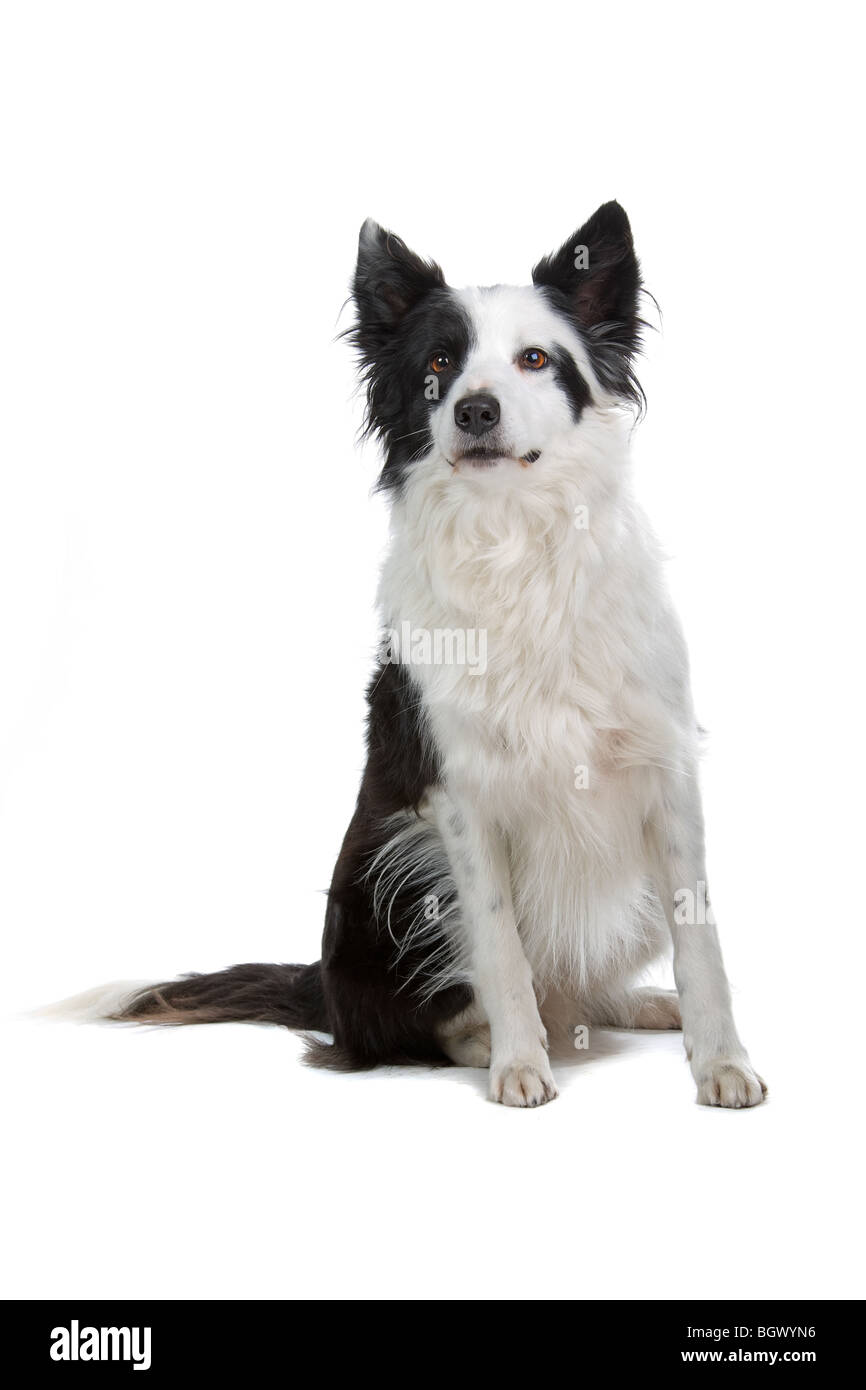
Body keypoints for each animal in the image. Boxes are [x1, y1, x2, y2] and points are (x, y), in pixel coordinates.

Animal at [57, 202, 767, 1106]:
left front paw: (723, 1062)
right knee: (398, 1027)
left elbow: (700, 937)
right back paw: (492, 1041)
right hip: (395, 869)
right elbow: (499, 949)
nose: (475, 410)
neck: (515, 542)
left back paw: (638, 1006)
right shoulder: (457, 795)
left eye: (535, 359)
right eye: (439, 365)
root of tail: (323, 986)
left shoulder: (663, 768)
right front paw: (520, 1064)